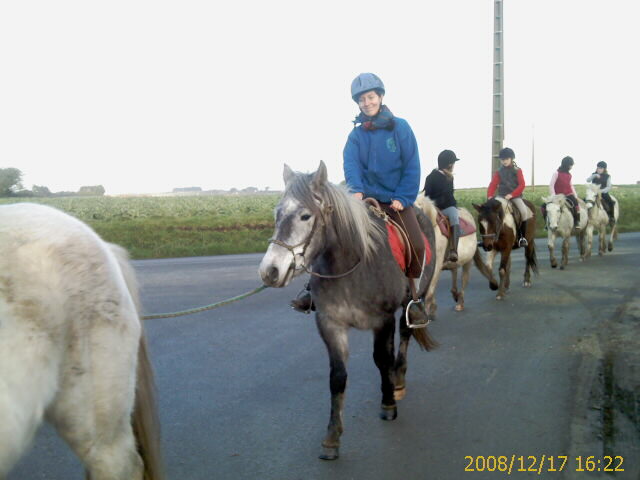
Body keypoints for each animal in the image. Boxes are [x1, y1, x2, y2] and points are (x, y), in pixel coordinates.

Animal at [258, 162, 438, 462]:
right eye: (277, 213)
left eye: (305, 216)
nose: (270, 271)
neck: (354, 266)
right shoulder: (330, 324)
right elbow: (337, 377)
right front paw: (332, 437)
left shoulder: (382, 321)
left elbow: (382, 360)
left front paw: (388, 404)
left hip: (413, 301)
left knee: (405, 335)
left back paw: (398, 381)